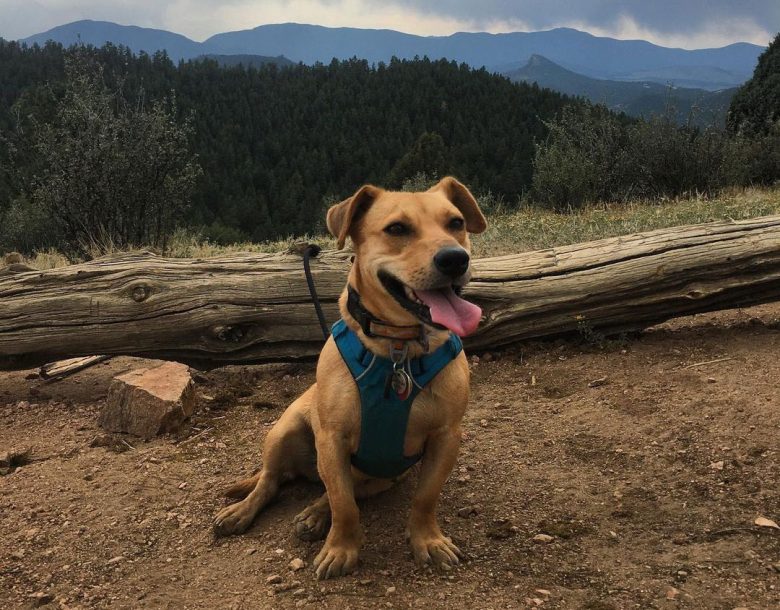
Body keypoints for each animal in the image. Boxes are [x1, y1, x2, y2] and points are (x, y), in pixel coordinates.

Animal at [210, 175, 484, 576]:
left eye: (456, 223)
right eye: (397, 229)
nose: (454, 258)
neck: (397, 351)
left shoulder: (446, 438)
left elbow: (424, 498)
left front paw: (427, 540)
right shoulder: (332, 439)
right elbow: (344, 504)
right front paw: (341, 548)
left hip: (380, 477)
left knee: (335, 489)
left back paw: (313, 514)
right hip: (284, 431)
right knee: (272, 481)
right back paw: (243, 511)